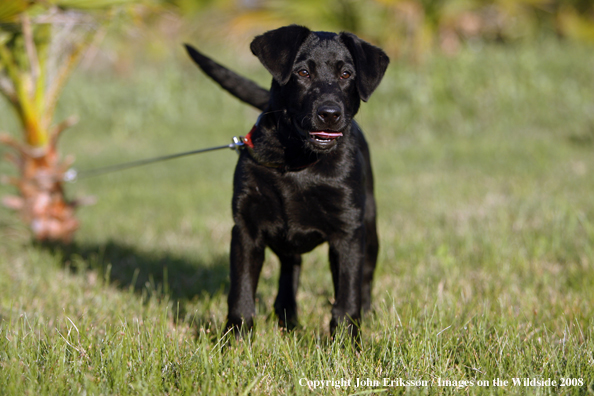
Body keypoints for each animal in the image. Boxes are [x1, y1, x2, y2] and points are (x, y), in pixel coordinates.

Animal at [185, 25, 388, 340]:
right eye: (303, 72)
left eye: (346, 74)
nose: (330, 114)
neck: (298, 160)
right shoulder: (246, 228)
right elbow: (241, 292)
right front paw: (236, 340)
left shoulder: (348, 232)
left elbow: (347, 296)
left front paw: (345, 343)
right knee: (290, 270)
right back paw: (287, 319)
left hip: (369, 224)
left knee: (364, 277)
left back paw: (365, 314)